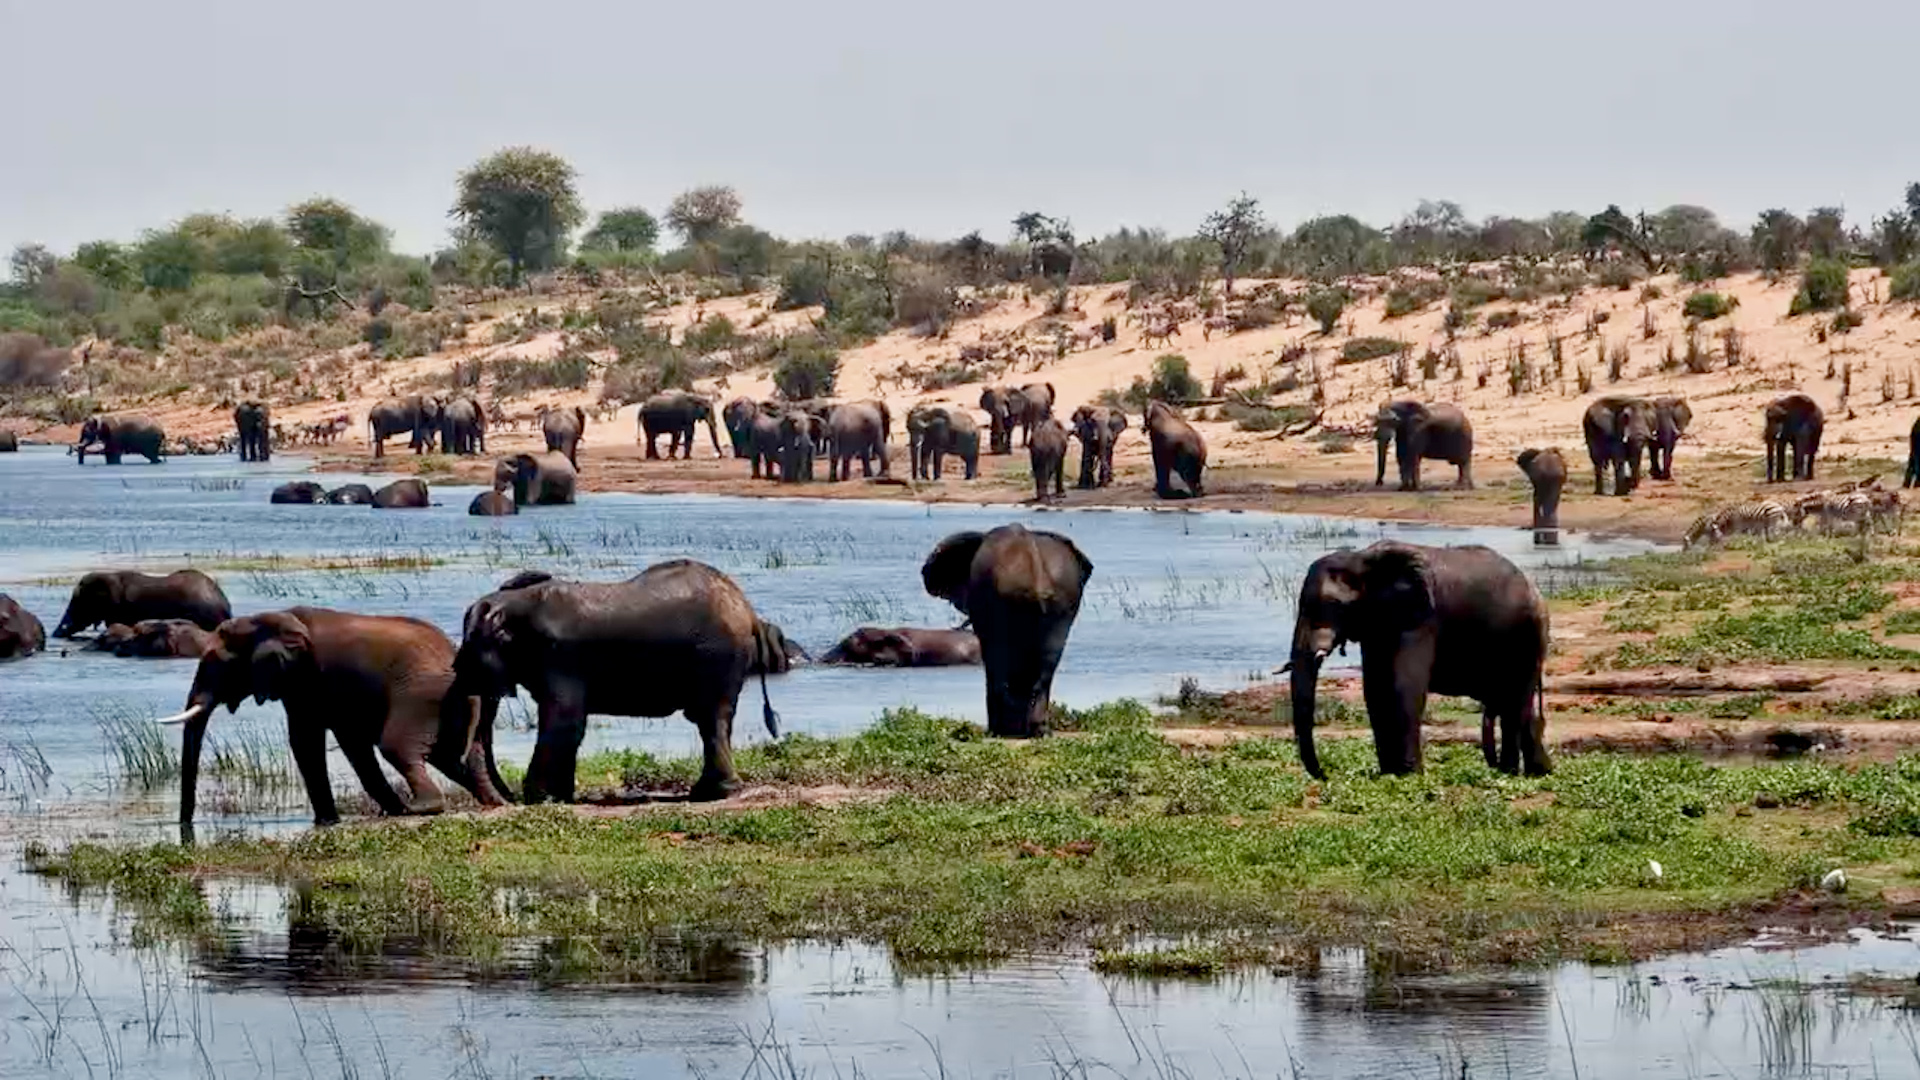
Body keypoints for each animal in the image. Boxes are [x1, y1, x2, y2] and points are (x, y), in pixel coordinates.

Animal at [156, 608, 511, 827]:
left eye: (218, 662)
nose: (185, 826)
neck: (269, 617)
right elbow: (345, 742)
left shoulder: (307, 678)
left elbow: (306, 741)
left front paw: (329, 822)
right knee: (458, 757)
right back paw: (494, 803)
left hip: (420, 695)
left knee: (397, 747)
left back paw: (417, 808)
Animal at [450, 561, 786, 803]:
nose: (510, 798)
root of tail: (748, 610)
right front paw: (558, 797)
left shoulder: (560, 656)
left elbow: (564, 720)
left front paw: (539, 798)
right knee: (712, 720)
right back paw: (708, 792)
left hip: (716, 658)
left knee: (710, 717)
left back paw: (713, 794)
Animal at [922, 525, 1093, 738]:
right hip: (1061, 605)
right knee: (1047, 665)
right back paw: (1039, 731)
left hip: (1002, 603)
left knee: (997, 661)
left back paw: (999, 731)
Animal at [1286, 541, 1551, 780]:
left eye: (1333, 605)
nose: (1324, 775)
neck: (1362, 560)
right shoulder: (1376, 624)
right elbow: (1375, 689)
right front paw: (1390, 774)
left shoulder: (1421, 617)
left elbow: (1405, 686)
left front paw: (1410, 776)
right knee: (1516, 704)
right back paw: (1538, 772)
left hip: (1528, 637)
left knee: (1514, 705)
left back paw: (1508, 773)